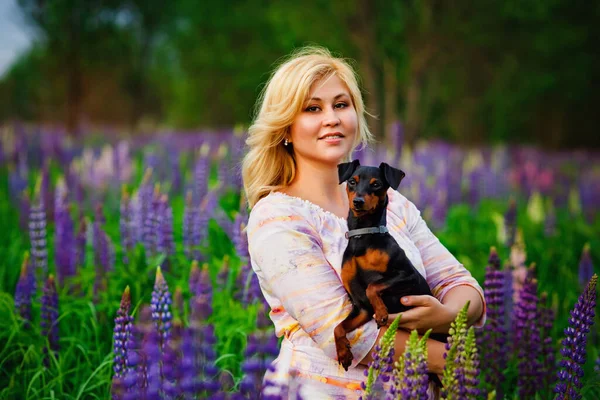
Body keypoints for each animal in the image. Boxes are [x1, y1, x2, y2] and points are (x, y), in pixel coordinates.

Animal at [336, 159, 448, 372]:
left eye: (376, 184)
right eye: (352, 182)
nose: (358, 202)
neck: (363, 236)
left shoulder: (407, 276)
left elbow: (373, 286)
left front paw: (381, 312)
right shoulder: (361, 307)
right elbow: (338, 328)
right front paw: (343, 353)